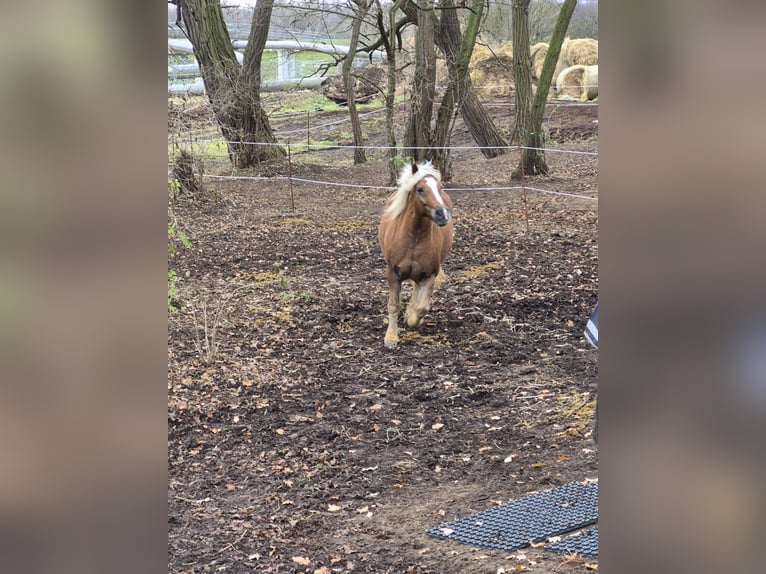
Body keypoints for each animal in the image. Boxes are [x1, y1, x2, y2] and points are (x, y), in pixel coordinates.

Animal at [378, 161, 454, 349]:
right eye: (420, 189)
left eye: (440, 187)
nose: (442, 214)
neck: (414, 237)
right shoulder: (393, 273)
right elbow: (393, 305)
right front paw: (391, 338)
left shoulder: (430, 275)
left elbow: (422, 307)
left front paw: (412, 318)